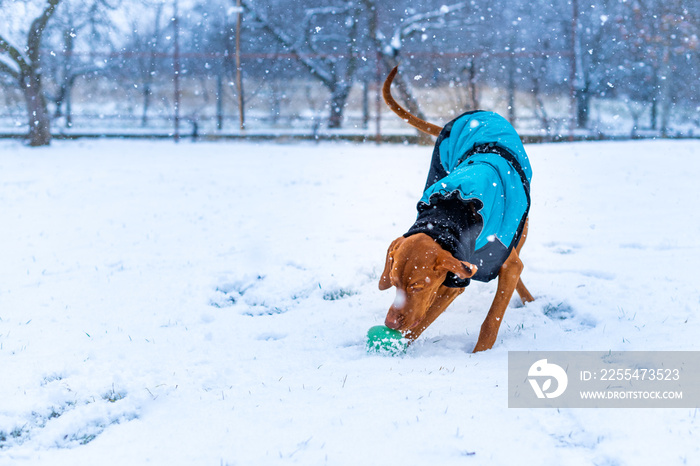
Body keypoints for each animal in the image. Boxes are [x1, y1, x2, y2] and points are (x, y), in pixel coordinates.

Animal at [378, 67, 536, 352]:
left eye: (416, 287)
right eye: (393, 283)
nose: (390, 323)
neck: (450, 214)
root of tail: (474, 113)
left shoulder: (495, 265)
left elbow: (492, 320)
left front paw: (479, 355)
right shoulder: (455, 274)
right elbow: (423, 319)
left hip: (522, 226)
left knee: (517, 254)